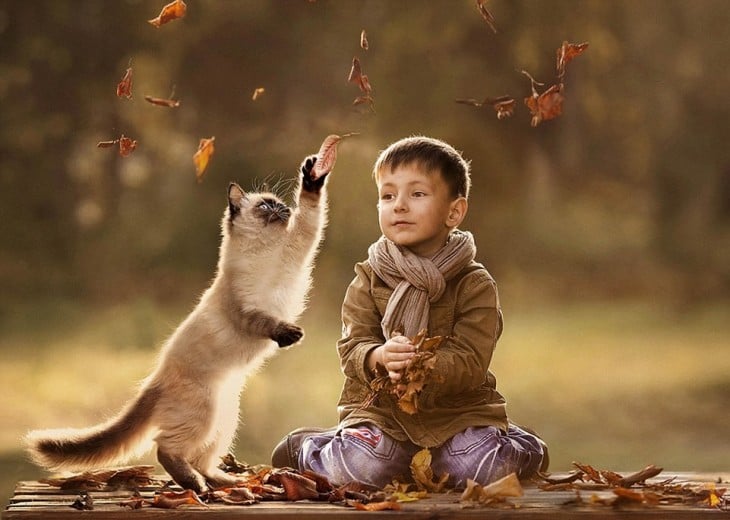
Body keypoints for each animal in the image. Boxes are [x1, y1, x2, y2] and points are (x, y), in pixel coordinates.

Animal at [24, 153, 328, 492]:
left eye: (281, 205)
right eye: (265, 206)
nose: (284, 210)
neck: (266, 252)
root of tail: (155, 379)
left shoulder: (299, 245)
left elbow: (310, 213)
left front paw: (313, 176)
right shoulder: (246, 311)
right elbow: (266, 321)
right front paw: (290, 335)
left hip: (224, 422)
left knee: (201, 458)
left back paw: (224, 481)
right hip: (205, 415)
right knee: (165, 449)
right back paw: (196, 485)